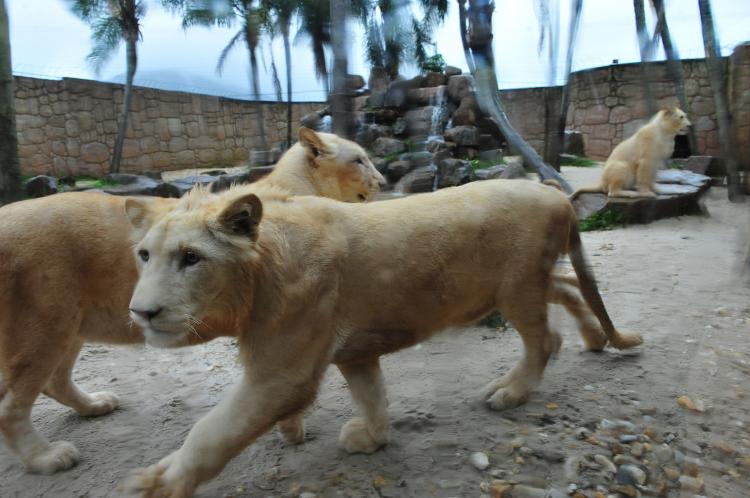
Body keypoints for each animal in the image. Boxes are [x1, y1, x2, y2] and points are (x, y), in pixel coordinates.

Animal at [0, 127, 388, 474]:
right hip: (41, 326)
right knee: (11, 406)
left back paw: (94, 405)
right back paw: (47, 458)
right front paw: (293, 430)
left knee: (55, 381)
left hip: (68, 325)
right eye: (359, 160)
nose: (383, 181)